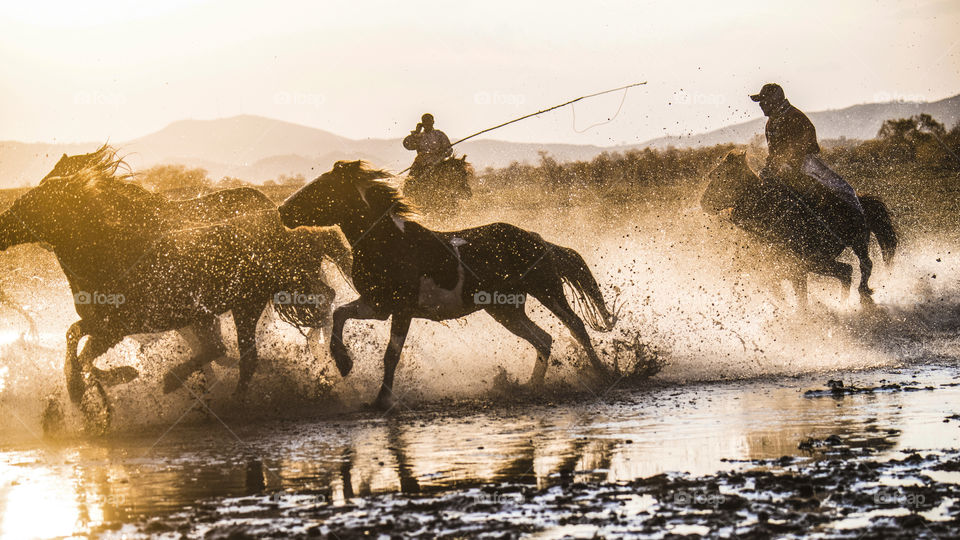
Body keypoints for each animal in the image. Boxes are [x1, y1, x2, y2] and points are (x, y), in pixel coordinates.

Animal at [0, 147, 340, 430]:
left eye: (37, 202)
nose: (2, 227)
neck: (110, 251)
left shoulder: (122, 325)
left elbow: (83, 353)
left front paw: (104, 388)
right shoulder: (102, 323)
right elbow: (74, 342)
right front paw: (86, 394)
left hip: (245, 304)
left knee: (243, 356)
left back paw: (209, 396)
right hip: (216, 311)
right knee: (224, 351)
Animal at [278, 160, 618, 410]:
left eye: (321, 187)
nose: (282, 210)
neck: (390, 242)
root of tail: (538, 239)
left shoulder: (402, 309)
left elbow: (391, 354)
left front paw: (382, 400)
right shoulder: (377, 305)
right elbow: (339, 315)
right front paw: (344, 363)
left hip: (547, 291)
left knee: (575, 326)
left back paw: (603, 374)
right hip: (505, 310)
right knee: (544, 339)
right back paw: (530, 387)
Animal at [701, 150, 897, 306]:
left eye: (721, 176)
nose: (703, 203)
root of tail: (860, 202)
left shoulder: (798, 269)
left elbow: (800, 298)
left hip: (851, 245)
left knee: (863, 265)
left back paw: (863, 294)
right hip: (822, 261)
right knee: (847, 271)